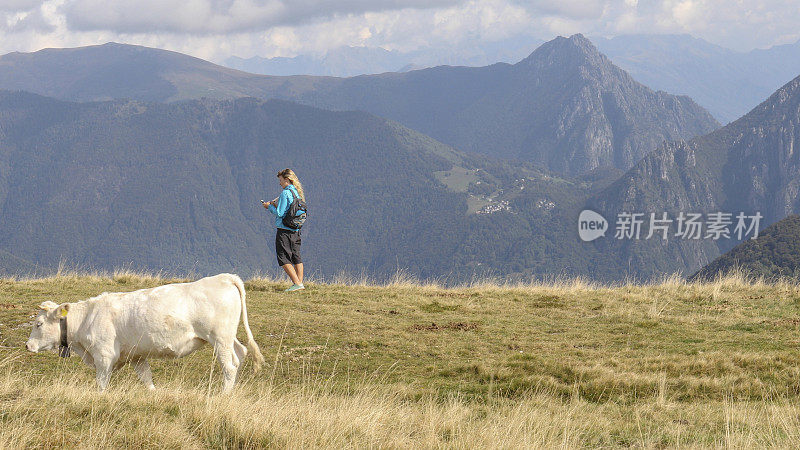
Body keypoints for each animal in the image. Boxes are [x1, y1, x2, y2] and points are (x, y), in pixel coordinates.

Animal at [25, 272, 266, 392]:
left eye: (38, 324)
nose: (27, 345)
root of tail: (224, 277)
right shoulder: (136, 355)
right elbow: (146, 378)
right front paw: (153, 394)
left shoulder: (104, 356)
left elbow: (101, 384)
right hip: (228, 336)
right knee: (241, 353)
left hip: (219, 338)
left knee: (230, 366)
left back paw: (223, 395)